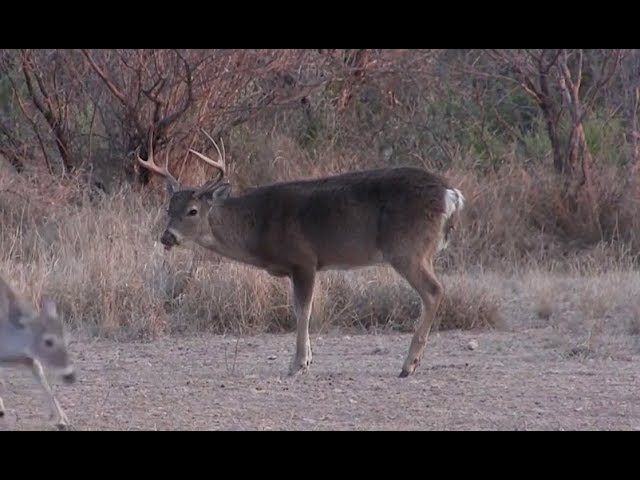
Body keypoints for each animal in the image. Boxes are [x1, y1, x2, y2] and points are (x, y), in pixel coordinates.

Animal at [0, 274, 76, 432]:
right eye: (48, 341)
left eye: (67, 339)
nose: (70, 376)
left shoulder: (25, 357)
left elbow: (41, 375)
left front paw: (62, 419)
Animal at [136, 129, 464, 376]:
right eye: (168, 209)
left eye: (192, 210)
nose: (167, 236)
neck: (259, 227)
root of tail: (452, 195)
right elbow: (302, 308)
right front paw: (305, 359)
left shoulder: (304, 259)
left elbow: (302, 310)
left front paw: (297, 364)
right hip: (417, 251)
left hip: (406, 248)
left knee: (434, 290)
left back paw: (408, 365)